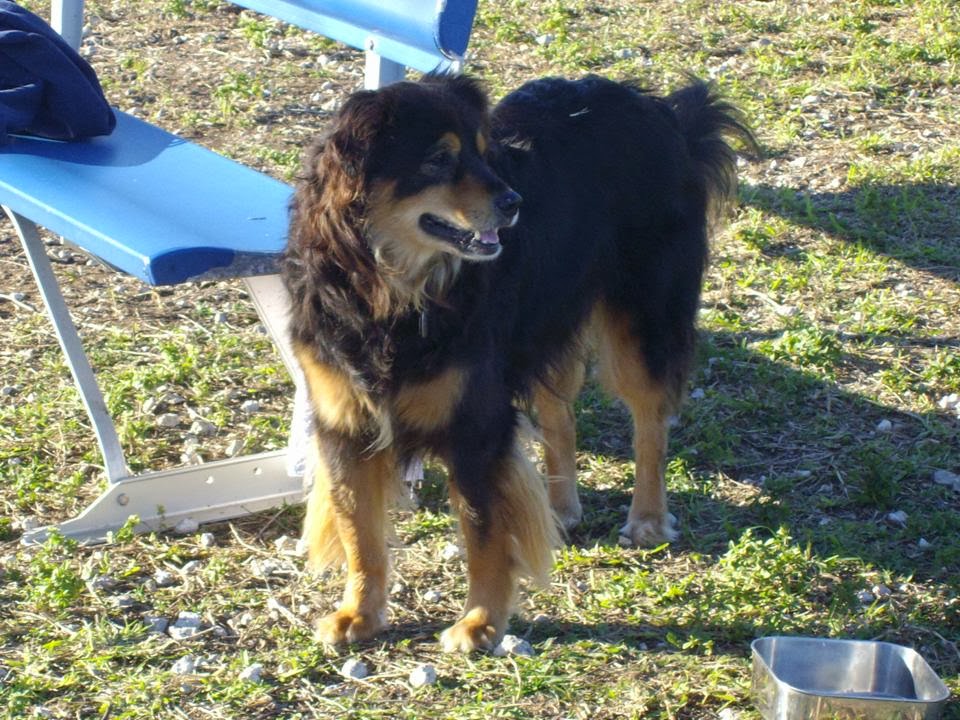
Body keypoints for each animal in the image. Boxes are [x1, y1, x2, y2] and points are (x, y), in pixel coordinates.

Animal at [281, 73, 754, 652]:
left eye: (485, 154)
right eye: (439, 159)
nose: (514, 202)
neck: (390, 290)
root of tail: (663, 111)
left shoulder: (476, 425)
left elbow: (484, 532)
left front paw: (480, 622)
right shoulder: (343, 422)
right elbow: (359, 533)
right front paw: (359, 613)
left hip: (641, 322)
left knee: (650, 423)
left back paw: (646, 517)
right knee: (559, 413)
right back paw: (560, 505)